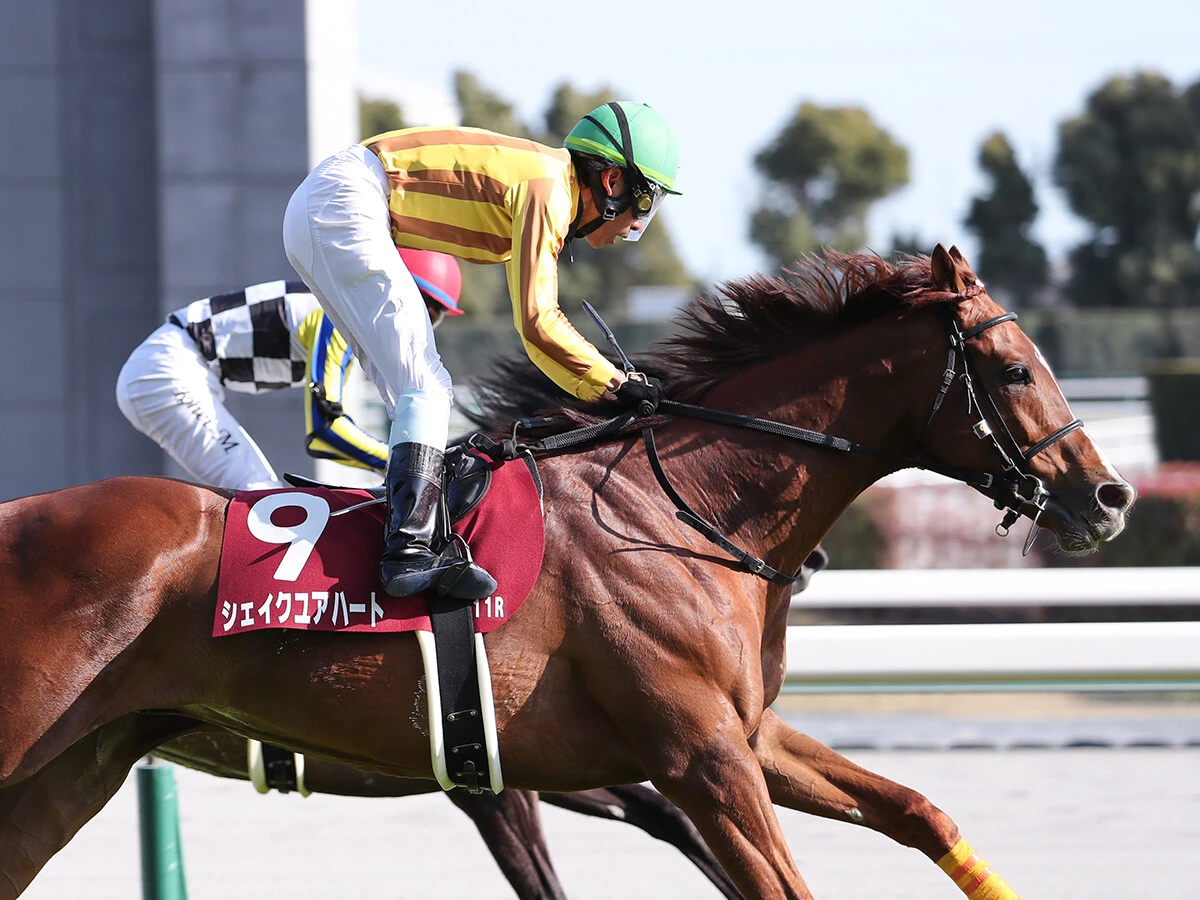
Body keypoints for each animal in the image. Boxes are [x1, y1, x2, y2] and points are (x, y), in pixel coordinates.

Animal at [0, 245, 1134, 899]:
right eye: (1018, 367)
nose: (1111, 495)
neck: (680, 512)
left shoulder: (734, 740)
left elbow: (917, 810)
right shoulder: (682, 762)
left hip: (77, 764)